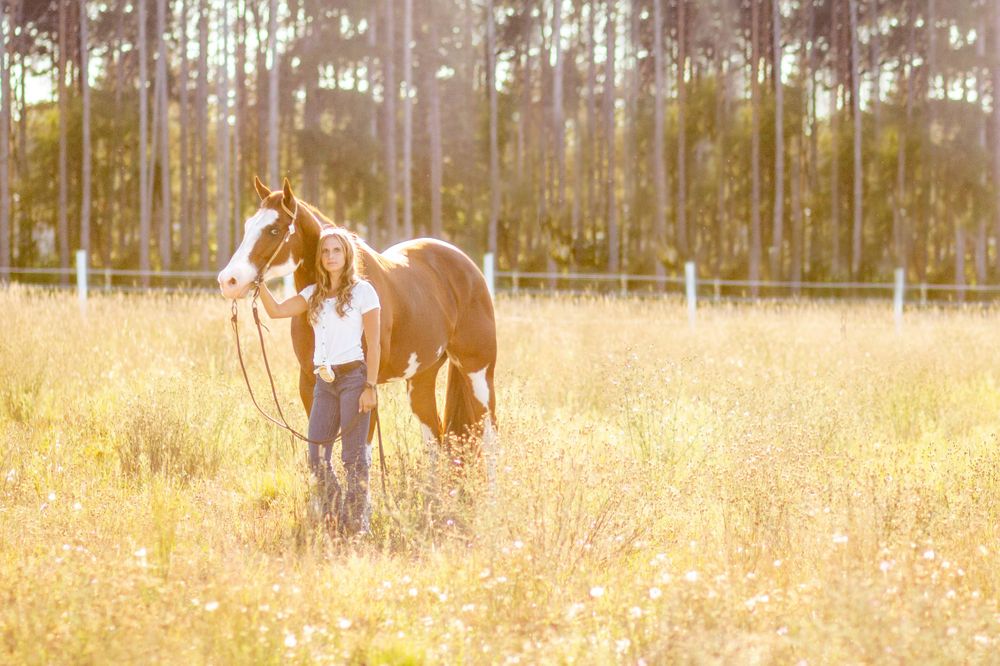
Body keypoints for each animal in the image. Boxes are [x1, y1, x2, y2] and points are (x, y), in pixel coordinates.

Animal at [218, 177, 498, 482]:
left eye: (274, 229)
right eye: (248, 226)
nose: (228, 281)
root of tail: (468, 268)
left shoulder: (365, 393)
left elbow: (360, 455)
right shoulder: (310, 383)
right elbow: (320, 452)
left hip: (478, 372)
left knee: (488, 435)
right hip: (421, 379)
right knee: (435, 440)